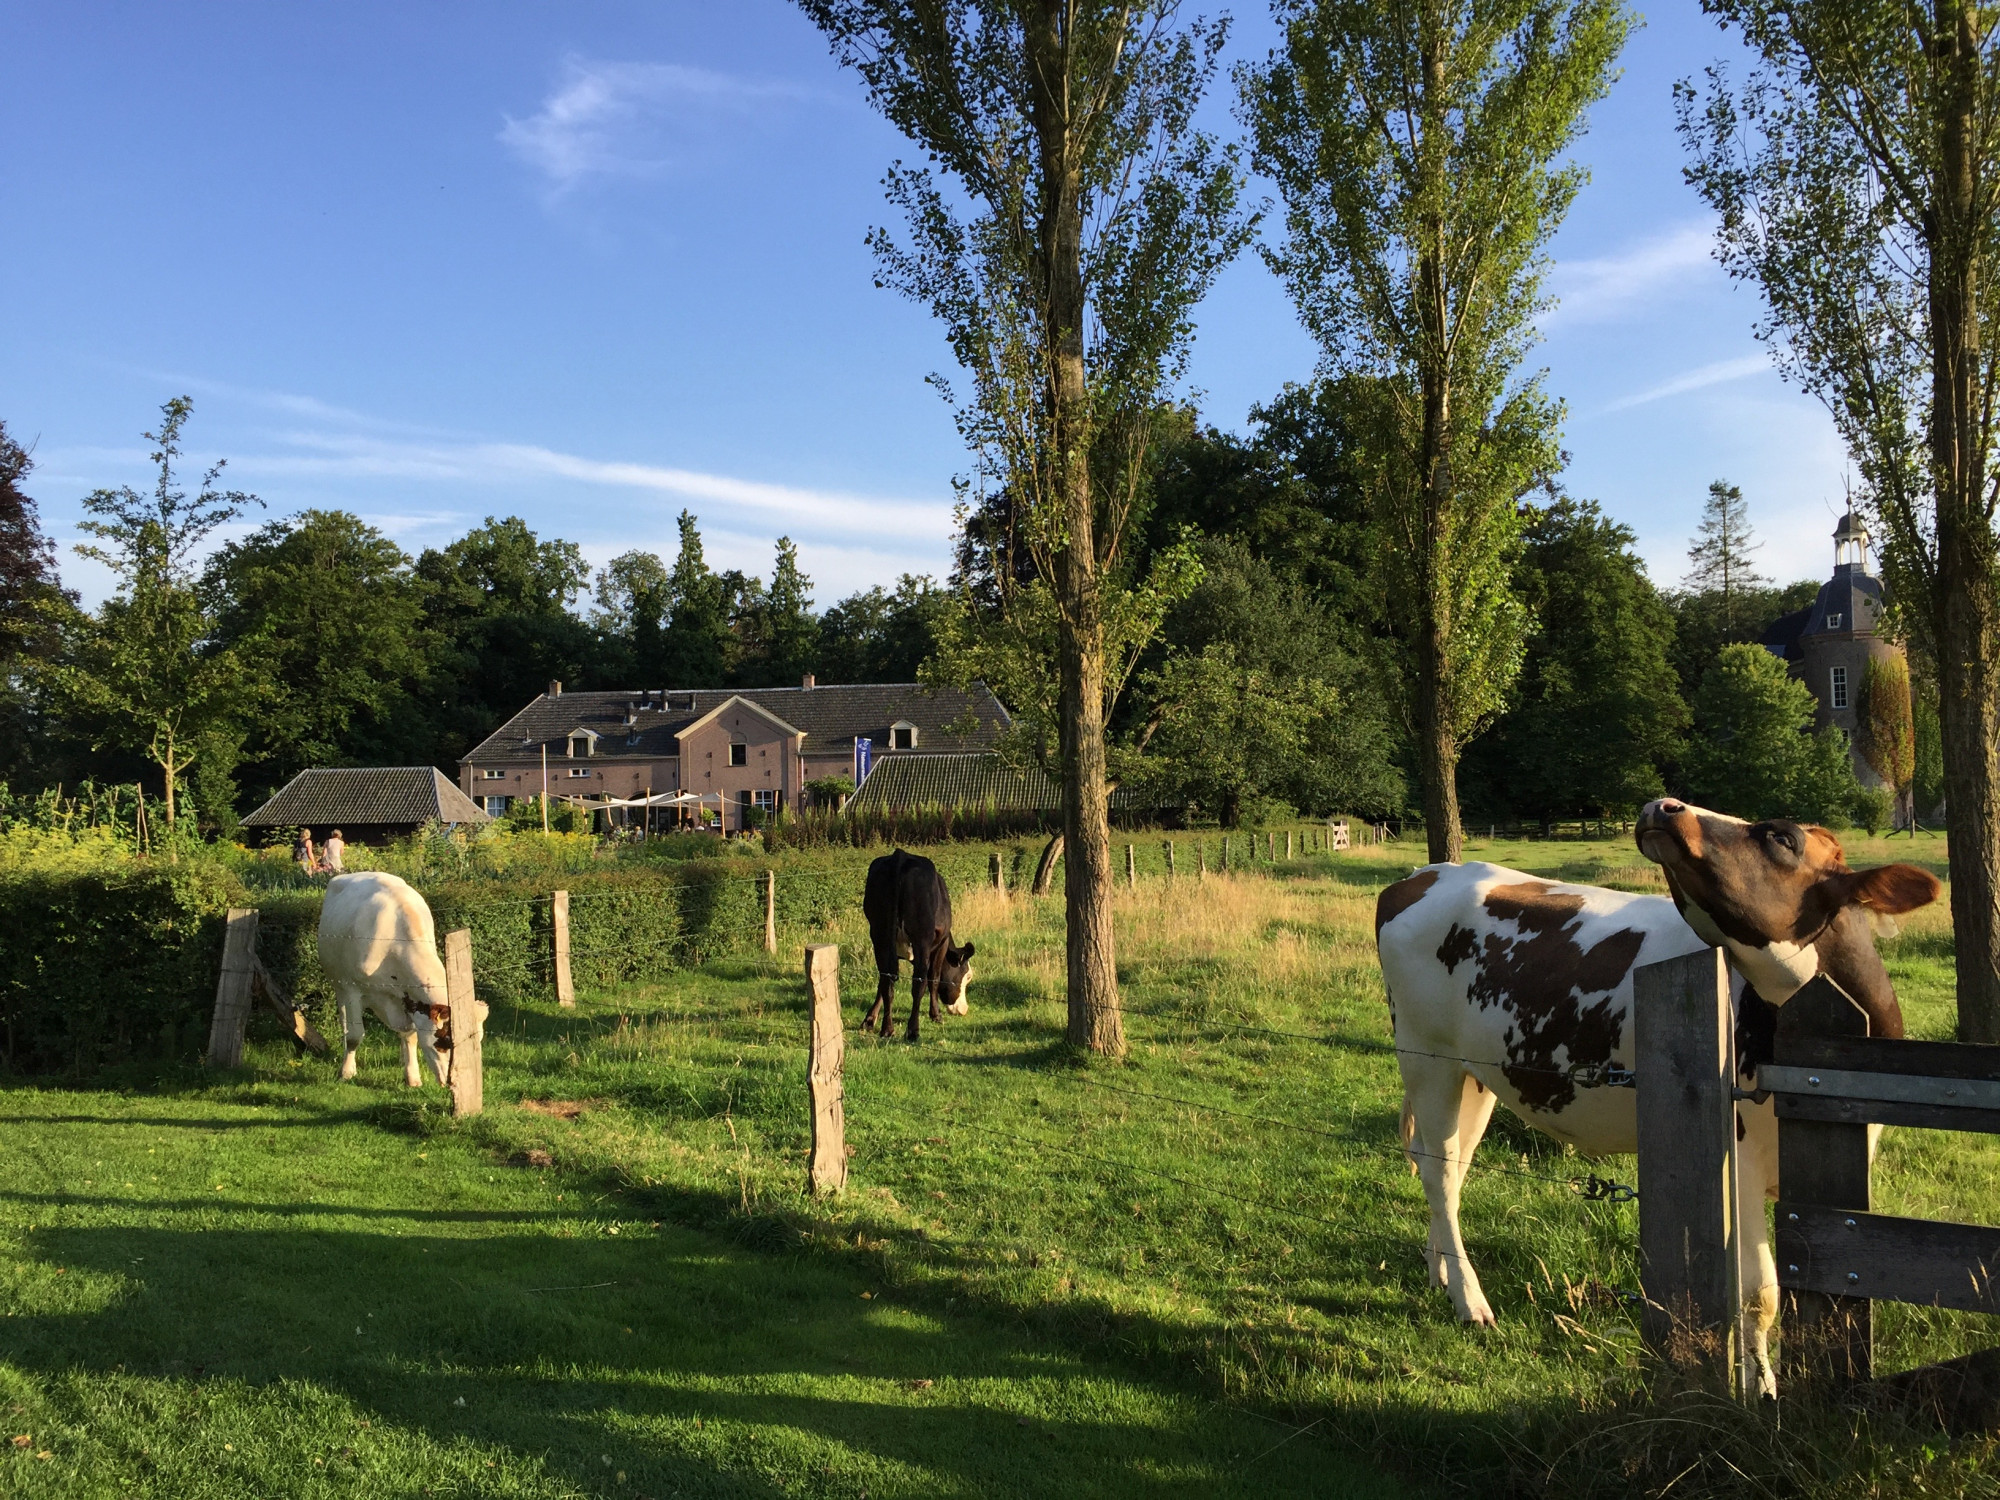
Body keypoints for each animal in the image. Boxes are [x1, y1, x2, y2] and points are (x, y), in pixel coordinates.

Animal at [320, 868, 454, 1096]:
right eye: (444, 1043)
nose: (453, 1082)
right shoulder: (352, 988)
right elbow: (355, 1035)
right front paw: (346, 1072)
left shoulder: (406, 996)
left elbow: (410, 1035)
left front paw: (412, 1076)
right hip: (338, 984)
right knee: (346, 1023)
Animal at [860, 848, 976, 1048]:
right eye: (967, 976)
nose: (963, 1009)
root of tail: (900, 855)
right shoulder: (940, 945)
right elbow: (934, 978)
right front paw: (936, 1015)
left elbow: (882, 984)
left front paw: (869, 1019)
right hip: (921, 937)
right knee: (919, 982)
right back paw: (913, 1030)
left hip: (879, 934)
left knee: (886, 979)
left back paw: (887, 1029)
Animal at [1376, 804, 1936, 1408]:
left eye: (1781, 838)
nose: (1665, 806)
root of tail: (1424, 875)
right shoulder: (1737, 1156)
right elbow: (1759, 1293)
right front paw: (1760, 1390)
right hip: (1427, 1054)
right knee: (1437, 1171)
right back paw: (1469, 1301)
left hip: (1478, 1074)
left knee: (1450, 1169)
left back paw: (1441, 1272)